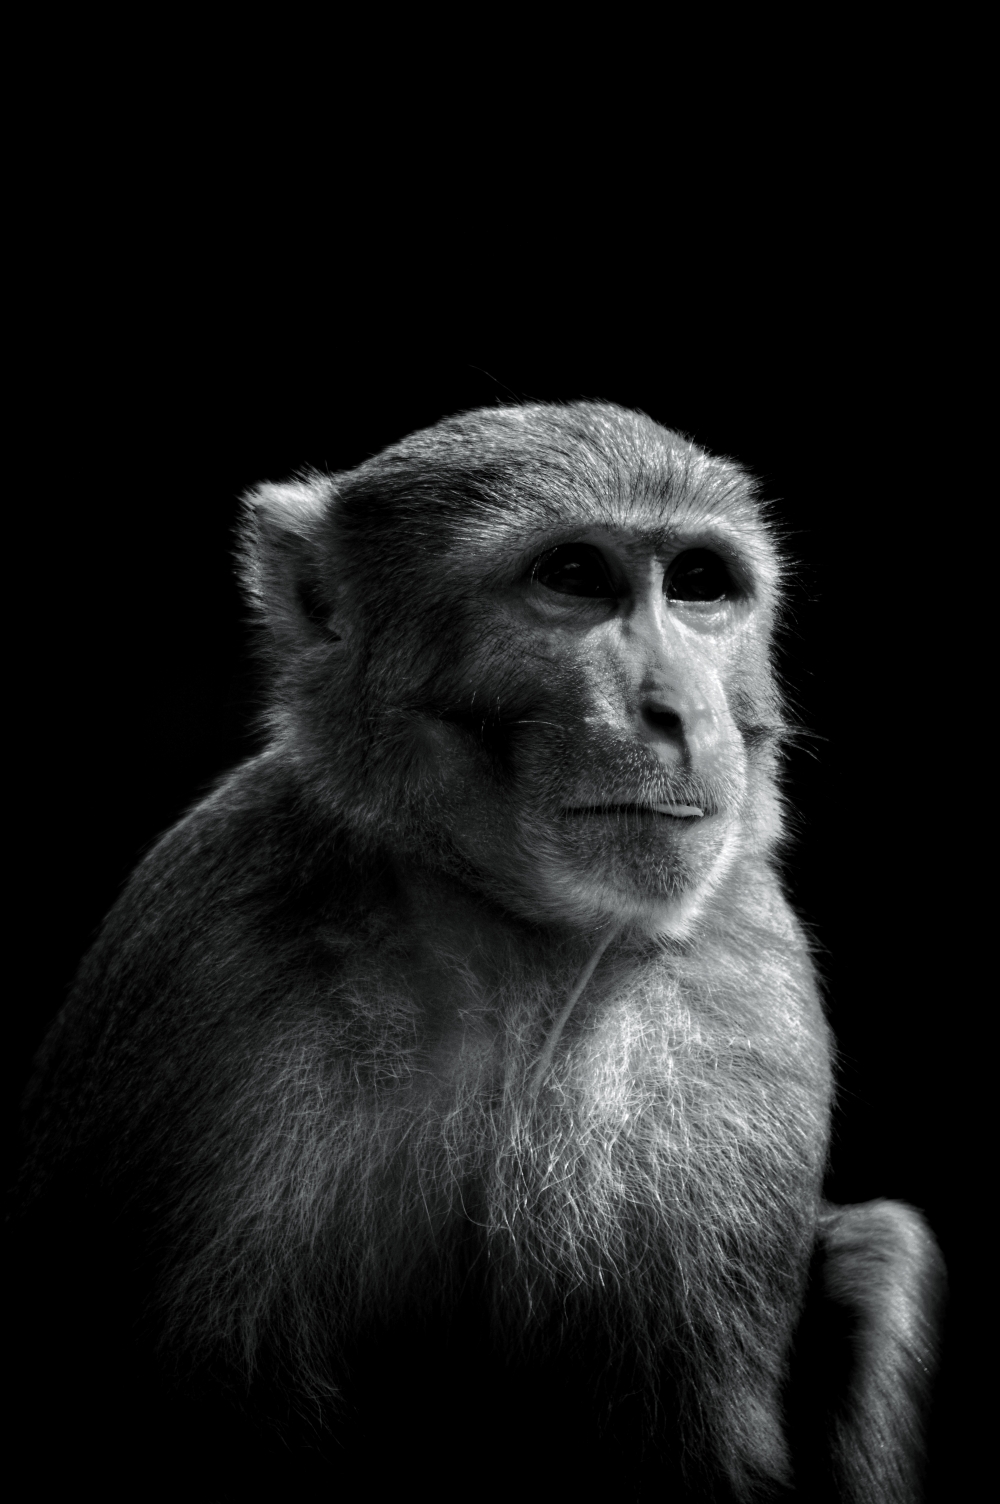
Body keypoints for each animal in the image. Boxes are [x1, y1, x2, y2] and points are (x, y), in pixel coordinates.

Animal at [14, 401, 943, 1502]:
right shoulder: (206, 947)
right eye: (574, 574)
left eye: (698, 584)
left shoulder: (748, 989)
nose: (677, 711)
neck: (517, 934)